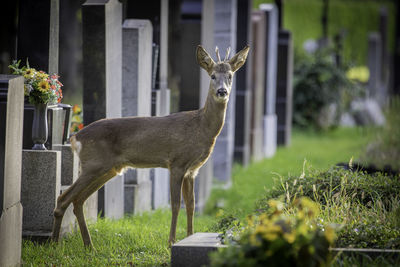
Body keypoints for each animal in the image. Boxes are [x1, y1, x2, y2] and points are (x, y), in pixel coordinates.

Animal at [51, 44, 248, 249]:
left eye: (230, 76)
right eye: (212, 76)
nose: (222, 92)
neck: (201, 127)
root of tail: (75, 137)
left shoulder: (192, 170)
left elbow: (191, 205)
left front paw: (190, 236)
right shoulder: (177, 163)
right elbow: (176, 204)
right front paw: (171, 241)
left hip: (107, 169)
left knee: (78, 200)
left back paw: (89, 245)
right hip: (93, 165)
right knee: (64, 198)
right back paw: (54, 243)